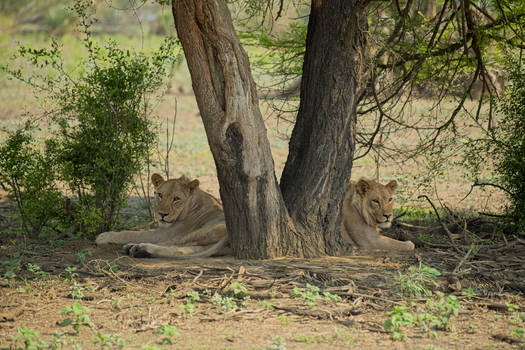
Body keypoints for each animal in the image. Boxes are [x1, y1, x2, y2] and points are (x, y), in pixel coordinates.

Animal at [96, 174, 227, 258]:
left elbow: (133, 233)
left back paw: (136, 247)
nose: (162, 214)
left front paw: (105, 236)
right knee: (181, 250)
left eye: (176, 198)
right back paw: (136, 249)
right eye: (160, 195)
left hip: (205, 231)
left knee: (173, 243)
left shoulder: (165, 233)